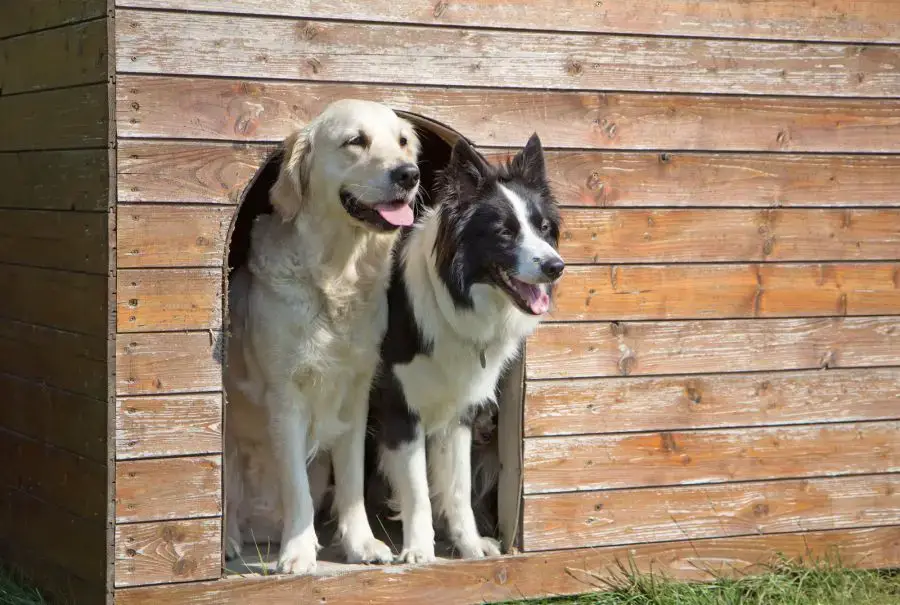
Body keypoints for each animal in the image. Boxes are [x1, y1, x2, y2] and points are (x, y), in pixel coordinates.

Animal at [225, 98, 422, 572]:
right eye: (356, 141)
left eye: (403, 142)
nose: (409, 174)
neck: (337, 276)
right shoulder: (285, 395)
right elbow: (293, 484)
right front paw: (298, 551)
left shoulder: (356, 392)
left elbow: (350, 480)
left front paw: (361, 544)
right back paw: (231, 541)